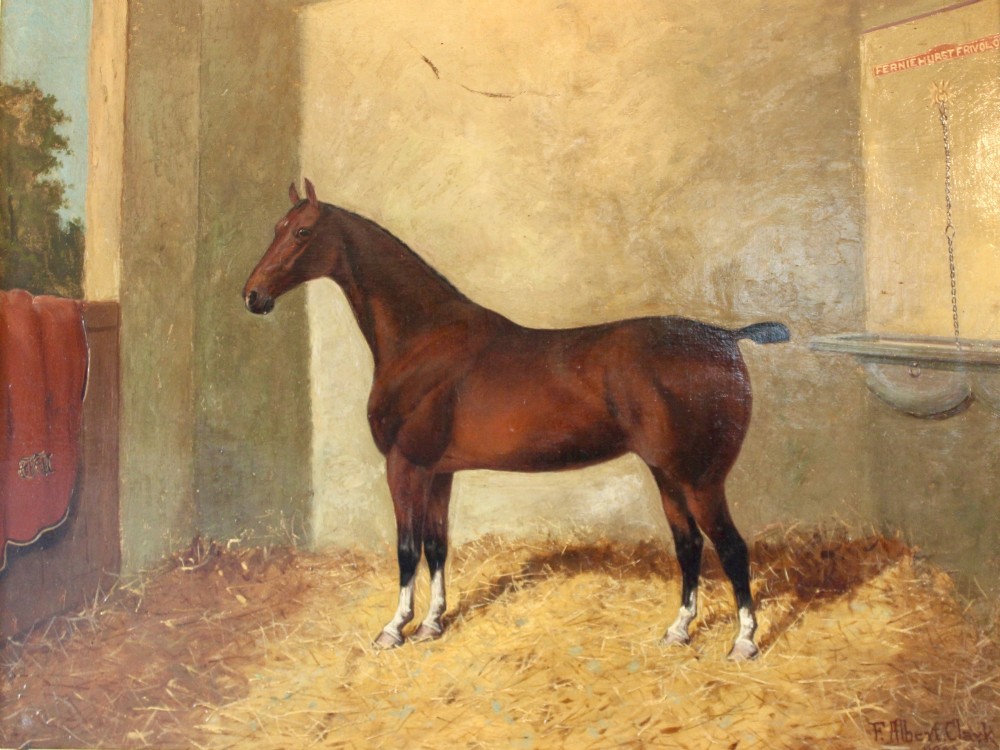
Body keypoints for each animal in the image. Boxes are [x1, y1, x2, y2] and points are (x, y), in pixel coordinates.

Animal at [243, 179, 790, 660]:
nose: (252, 295)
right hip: (667, 474)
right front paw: (433, 624)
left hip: (700, 479)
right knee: (689, 545)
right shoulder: (439, 472)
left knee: (732, 549)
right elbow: (436, 546)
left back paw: (744, 643)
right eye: (275, 227)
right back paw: (677, 632)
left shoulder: (405, 465)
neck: (423, 340)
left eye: (302, 232)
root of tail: (727, 338)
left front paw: (394, 629)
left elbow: (406, 548)